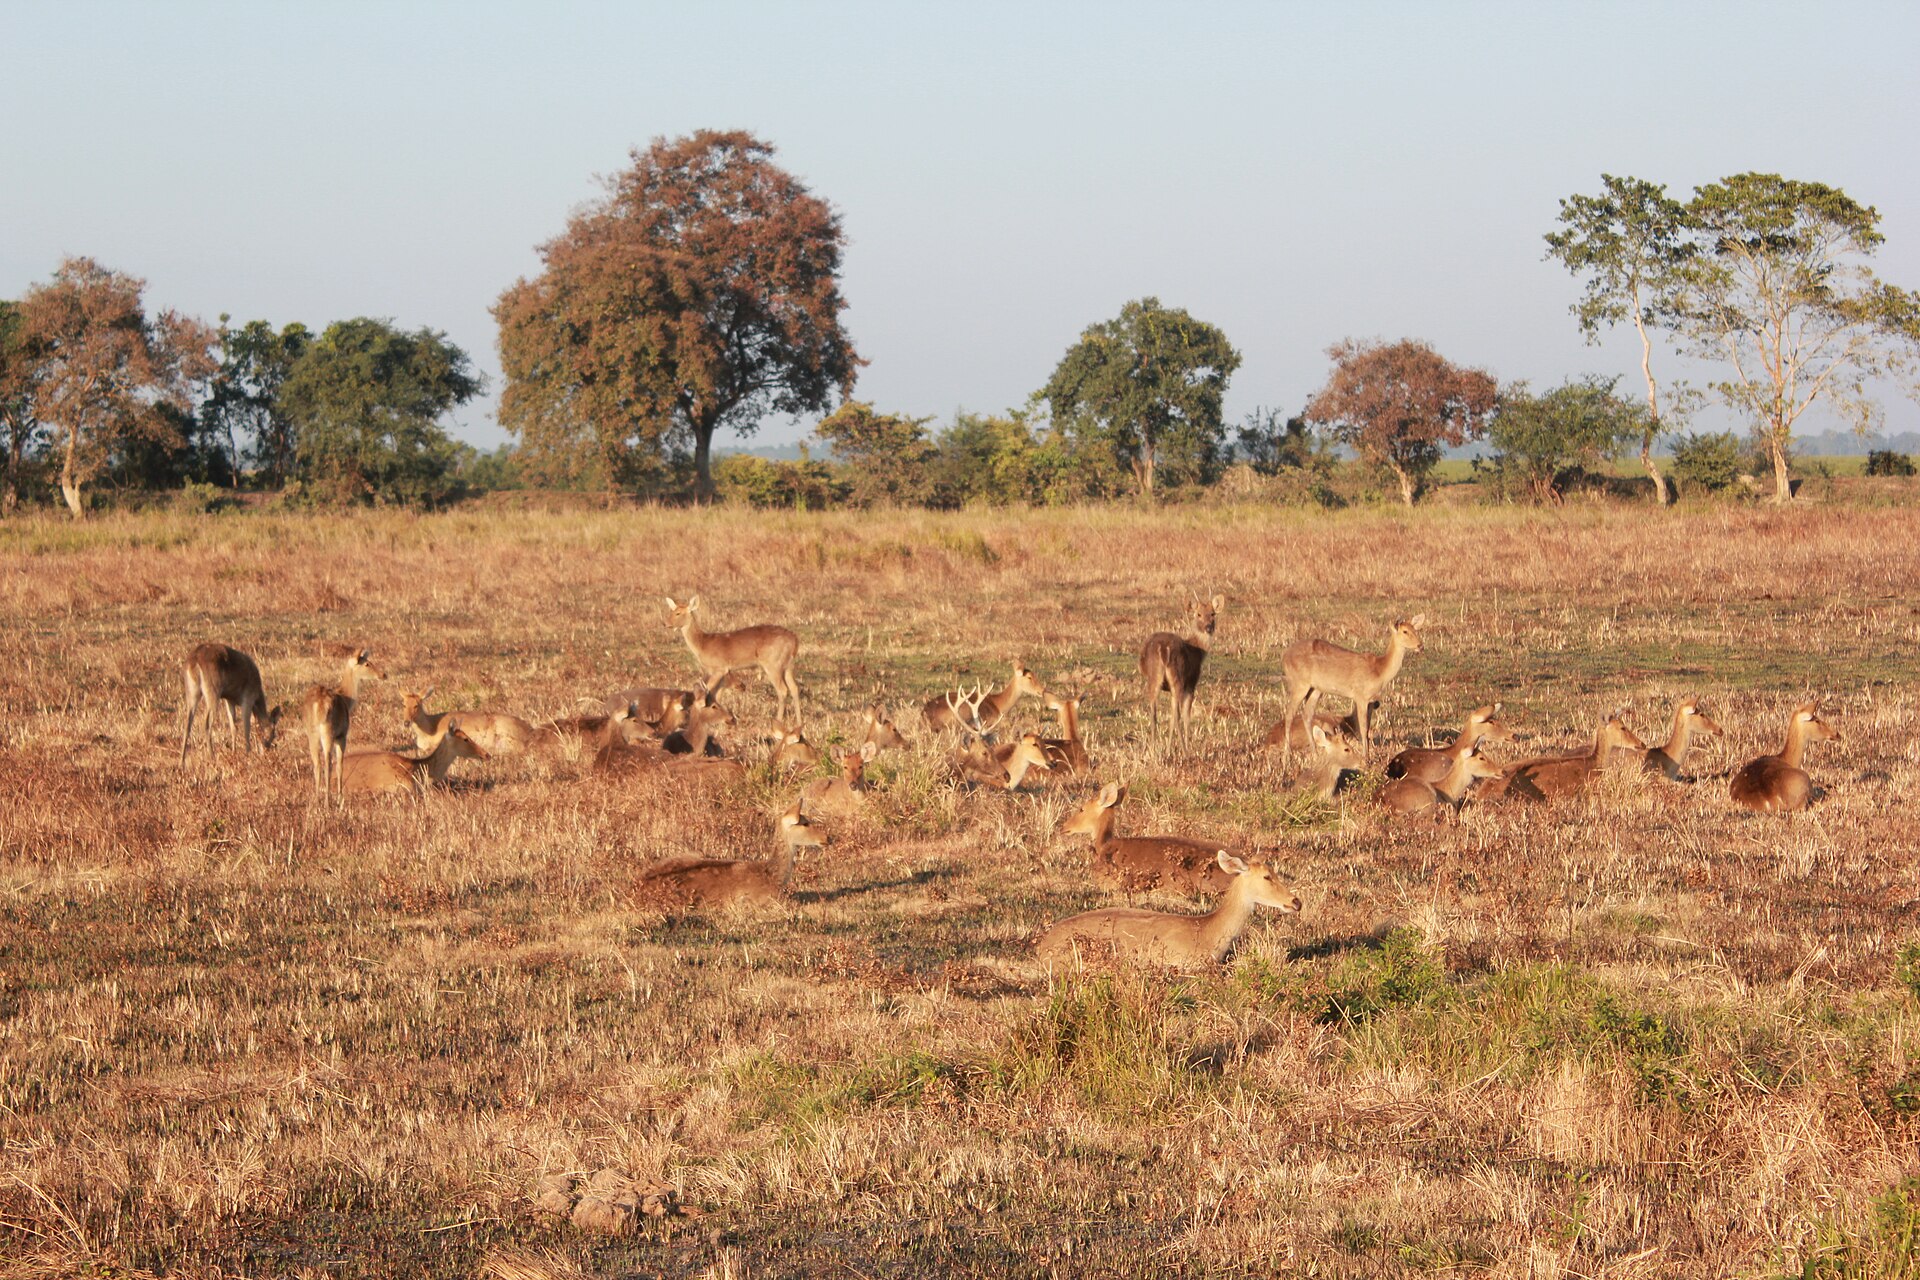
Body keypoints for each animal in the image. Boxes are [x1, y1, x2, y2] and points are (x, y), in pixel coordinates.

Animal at [304, 648, 383, 801]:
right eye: (367, 664)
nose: (383, 674)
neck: (347, 699)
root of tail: (319, 706)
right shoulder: (342, 735)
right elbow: (340, 765)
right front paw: (340, 796)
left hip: (312, 733)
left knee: (316, 763)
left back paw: (316, 799)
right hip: (328, 732)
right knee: (328, 763)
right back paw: (327, 800)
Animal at [665, 596, 801, 724]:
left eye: (678, 613)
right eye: (671, 611)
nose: (666, 624)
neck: (703, 644)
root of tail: (794, 639)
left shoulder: (719, 668)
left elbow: (708, 691)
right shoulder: (723, 672)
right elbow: (717, 694)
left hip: (773, 664)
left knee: (783, 690)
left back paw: (778, 720)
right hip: (788, 665)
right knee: (794, 688)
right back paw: (799, 722)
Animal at [1140, 595, 1224, 735]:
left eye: (1213, 614)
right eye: (1198, 614)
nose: (1208, 628)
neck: (1197, 651)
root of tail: (1163, 649)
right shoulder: (1191, 682)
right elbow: (1186, 717)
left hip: (1154, 677)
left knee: (1154, 714)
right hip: (1177, 677)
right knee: (1176, 716)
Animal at [1279, 615, 1425, 767]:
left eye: (1415, 629)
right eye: (1405, 631)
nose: (1420, 646)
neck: (1379, 671)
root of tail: (1284, 656)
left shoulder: (1371, 700)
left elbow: (1367, 729)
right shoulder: (1360, 696)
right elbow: (1363, 728)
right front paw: (1366, 758)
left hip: (1316, 689)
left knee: (1307, 714)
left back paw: (1315, 753)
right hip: (1298, 683)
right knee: (1289, 714)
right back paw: (1287, 755)